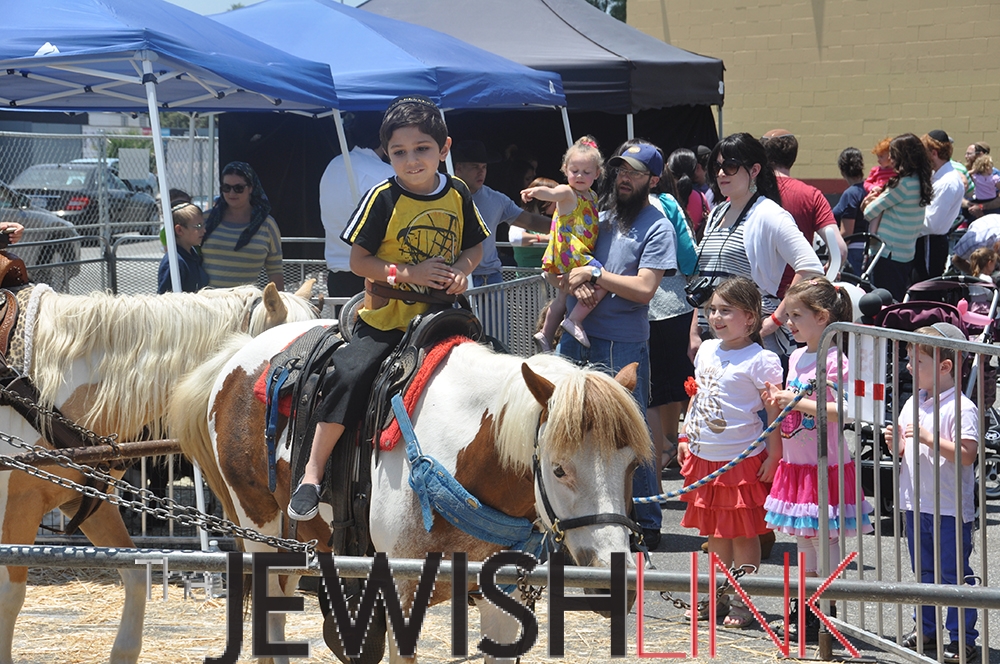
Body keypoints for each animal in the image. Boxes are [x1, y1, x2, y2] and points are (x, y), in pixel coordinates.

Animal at [169, 318, 653, 664]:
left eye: (633, 465)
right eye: (558, 469)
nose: (614, 586)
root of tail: (238, 355)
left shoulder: (502, 598)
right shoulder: (401, 592)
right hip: (262, 536)